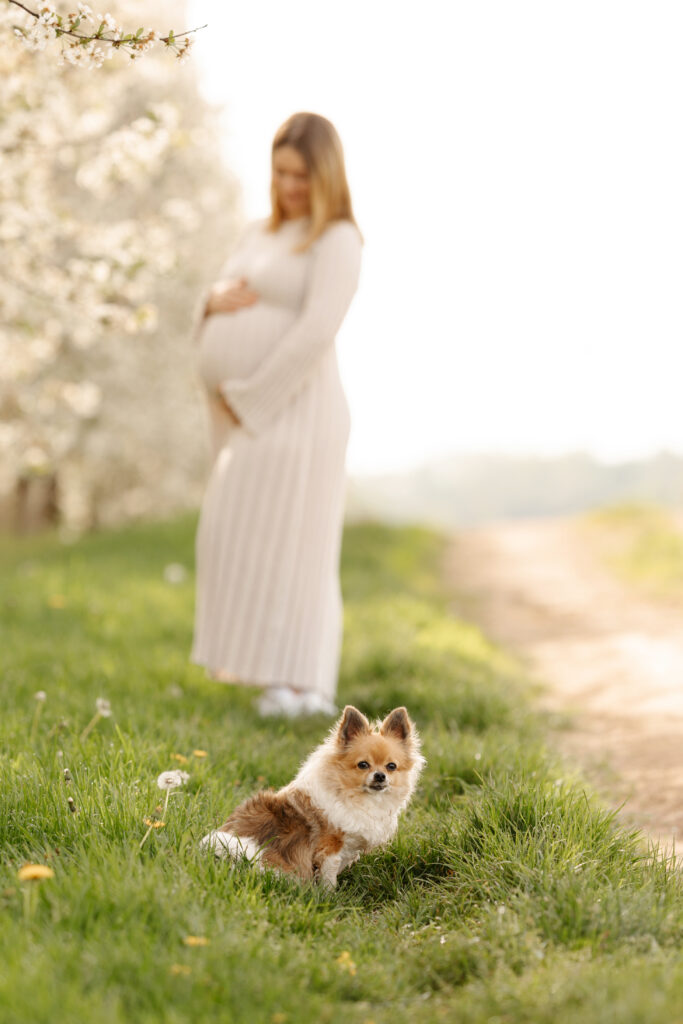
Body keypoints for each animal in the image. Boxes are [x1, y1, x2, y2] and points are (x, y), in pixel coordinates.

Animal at [200, 704, 423, 888]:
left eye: (391, 766)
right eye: (363, 765)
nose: (380, 775)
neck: (356, 796)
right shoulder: (329, 849)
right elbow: (328, 879)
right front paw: (330, 898)